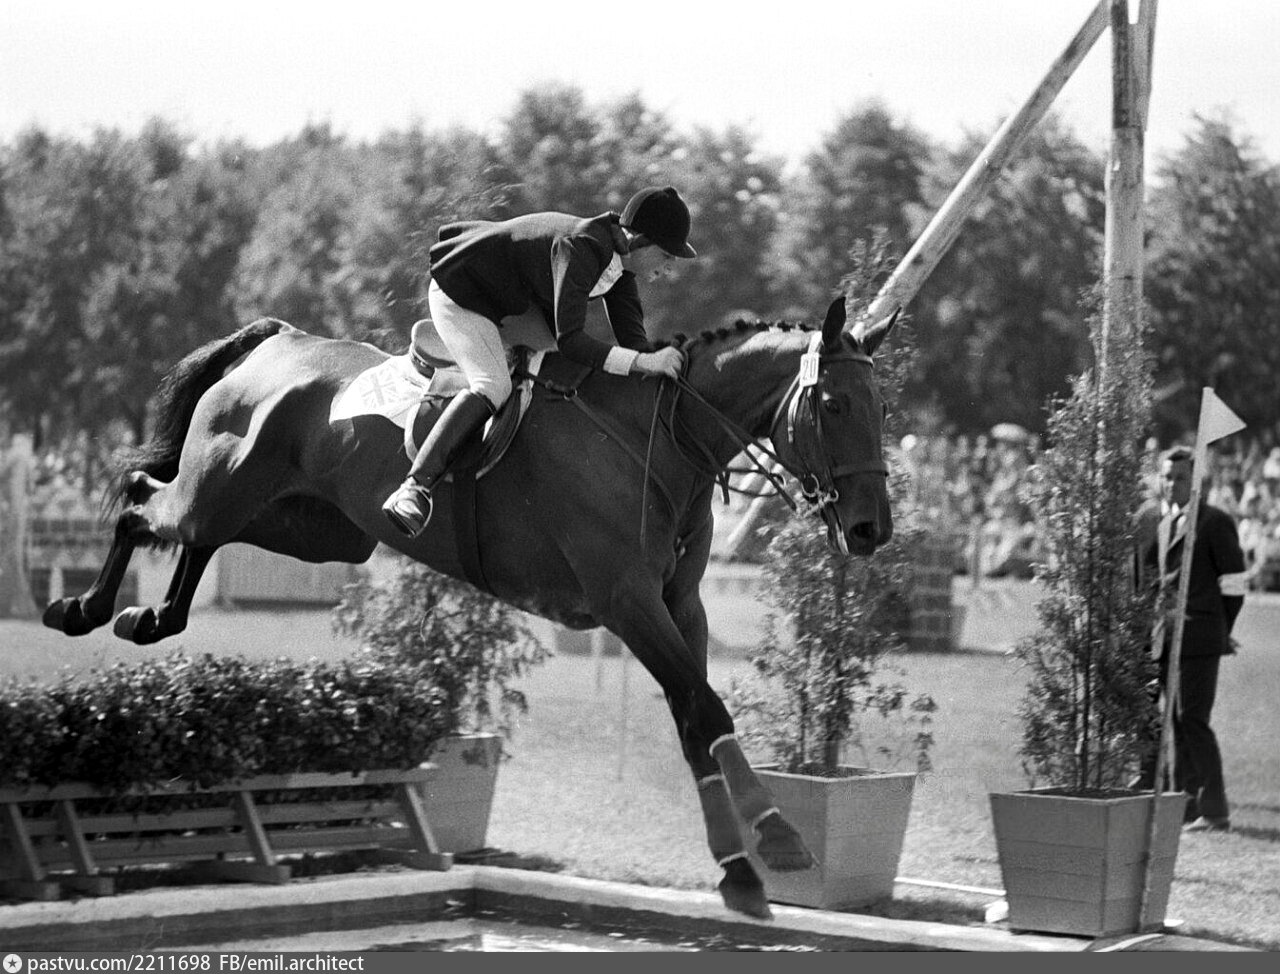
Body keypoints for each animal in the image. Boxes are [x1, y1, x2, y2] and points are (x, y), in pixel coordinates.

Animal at [42, 296, 897, 920]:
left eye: (881, 407)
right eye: (831, 403)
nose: (870, 530)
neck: (663, 437)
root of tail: (279, 342)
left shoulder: (678, 607)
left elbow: (696, 721)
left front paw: (740, 870)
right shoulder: (627, 602)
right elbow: (707, 708)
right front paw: (778, 840)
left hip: (310, 527)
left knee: (196, 538)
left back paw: (149, 618)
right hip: (227, 487)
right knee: (142, 505)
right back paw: (81, 607)